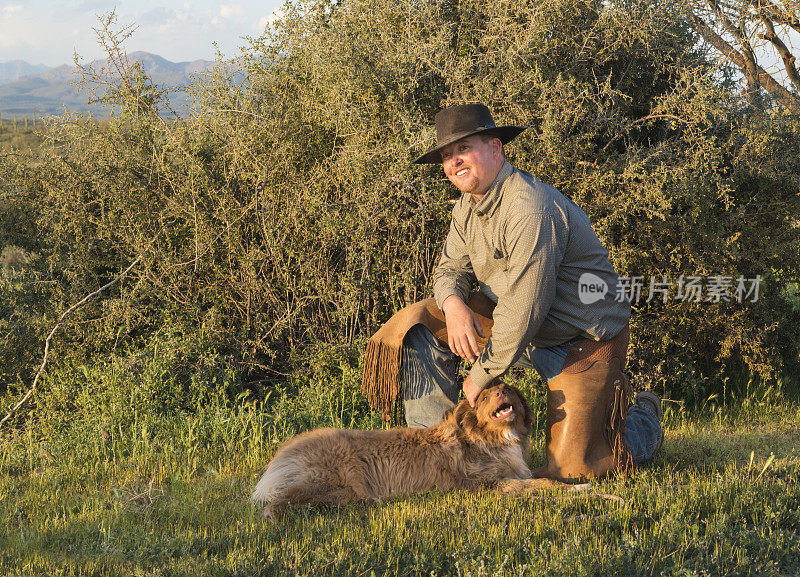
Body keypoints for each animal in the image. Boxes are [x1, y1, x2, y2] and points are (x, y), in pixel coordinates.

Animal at [253, 384, 572, 516]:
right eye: (483, 397)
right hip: (336, 482)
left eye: (510, 390)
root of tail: (284, 453)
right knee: (277, 505)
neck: (490, 438)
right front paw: (578, 489)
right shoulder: (489, 483)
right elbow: (547, 483)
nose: (501, 392)